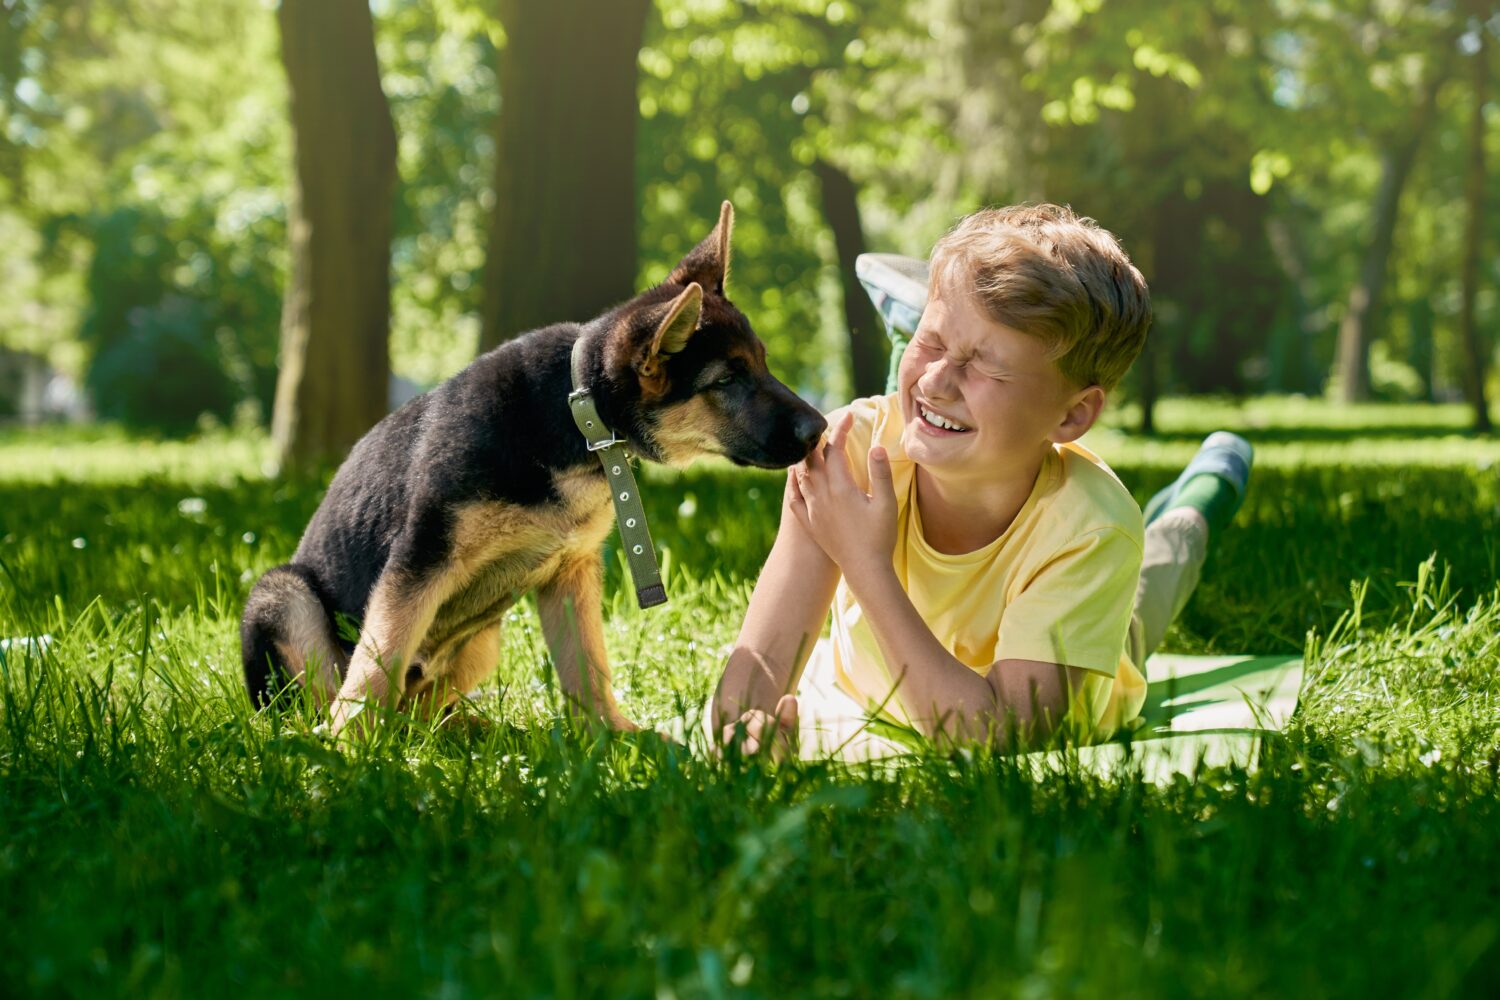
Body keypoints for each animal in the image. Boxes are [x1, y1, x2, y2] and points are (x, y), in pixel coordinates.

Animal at [241, 203, 828, 734]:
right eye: (727, 380)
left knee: (420, 712)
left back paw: (468, 731)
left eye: (763, 364)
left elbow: (587, 667)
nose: (820, 429)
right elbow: (376, 662)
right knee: (322, 702)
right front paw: (345, 750)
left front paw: (616, 739)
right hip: (283, 595)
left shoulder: (570, 574)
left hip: (481, 643)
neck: (576, 412)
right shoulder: (419, 560)